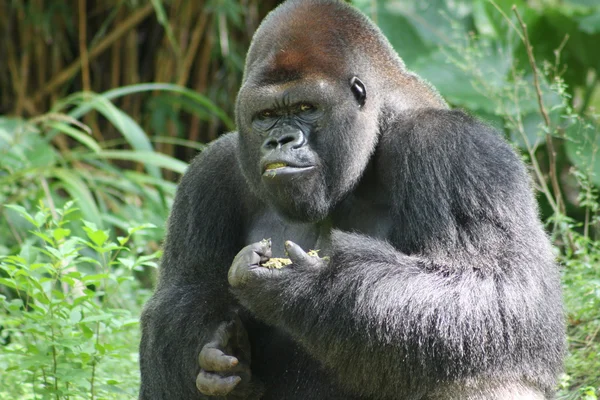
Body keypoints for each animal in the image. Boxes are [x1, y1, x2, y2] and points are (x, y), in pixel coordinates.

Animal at [138, 0, 564, 400]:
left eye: (306, 108)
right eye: (266, 114)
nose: (280, 140)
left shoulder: (457, 149)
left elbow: (500, 293)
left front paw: (313, 285)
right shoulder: (210, 172)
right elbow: (178, 302)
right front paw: (219, 363)